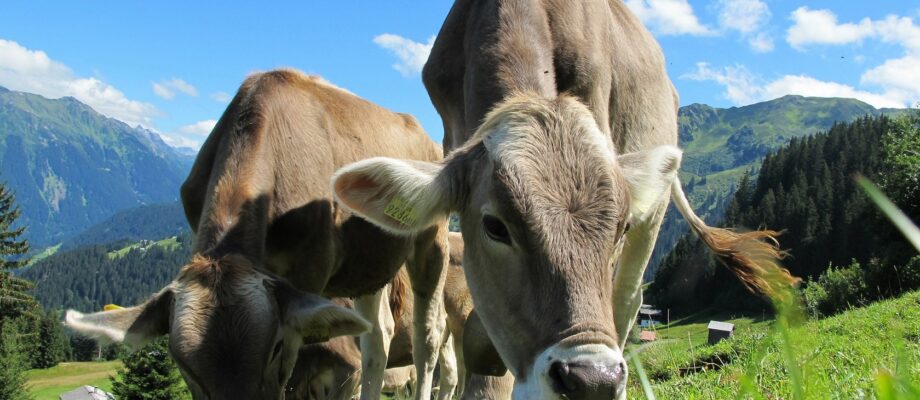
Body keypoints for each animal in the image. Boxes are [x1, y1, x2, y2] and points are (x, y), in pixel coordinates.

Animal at [66, 70, 452, 398]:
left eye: (275, 347)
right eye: (183, 365)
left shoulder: (308, 273)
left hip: (432, 240)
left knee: (427, 339)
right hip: (368, 264)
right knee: (377, 337)